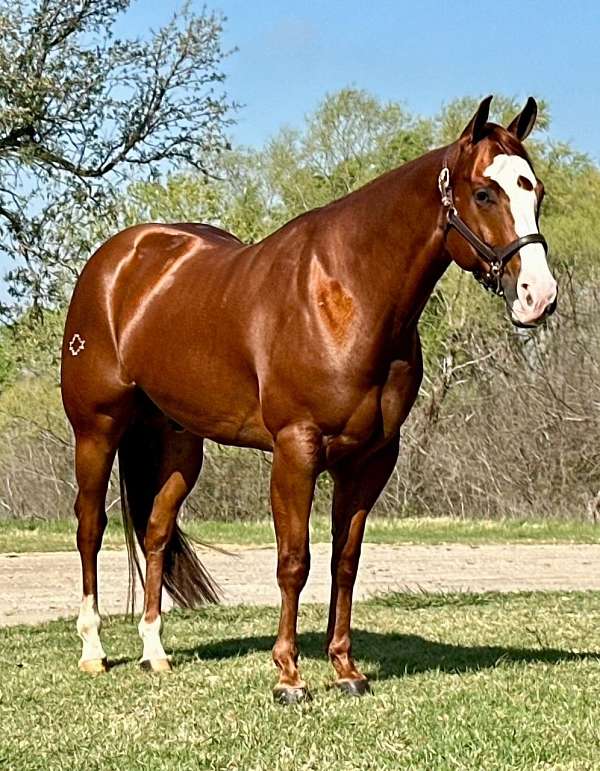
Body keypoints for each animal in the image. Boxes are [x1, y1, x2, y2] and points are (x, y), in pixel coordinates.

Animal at [60, 95, 557, 703]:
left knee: (154, 534)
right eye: (485, 192)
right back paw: (93, 651)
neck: (347, 294)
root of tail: (116, 261)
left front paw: (345, 669)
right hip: (97, 430)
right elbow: (294, 561)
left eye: (535, 190)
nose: (538, 296)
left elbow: (346, 561)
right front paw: (289, 676)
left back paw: (155, 653)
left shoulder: (371, 458)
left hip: (179, 443)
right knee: (90, 528)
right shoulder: (296, 449)